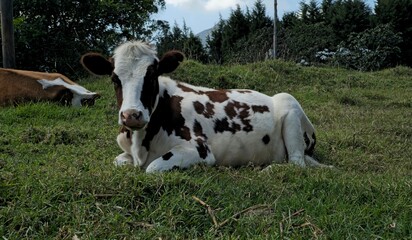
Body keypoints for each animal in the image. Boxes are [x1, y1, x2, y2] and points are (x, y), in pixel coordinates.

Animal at [80, 41, 332, 172]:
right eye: (114, 78)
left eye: (152, 76)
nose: (131, 115)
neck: (140, 143)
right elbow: (118, 162)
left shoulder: (199, 150)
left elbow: (152, 168)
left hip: (289, 104)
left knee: (297, 163)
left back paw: (269, 169)